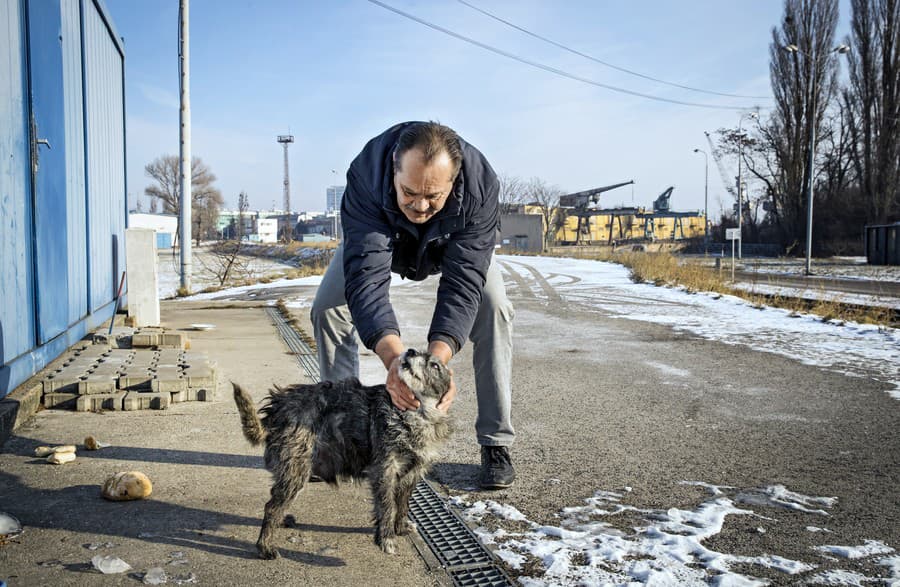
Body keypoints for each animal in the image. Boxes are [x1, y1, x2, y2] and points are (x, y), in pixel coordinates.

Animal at [234, 350, 454, 560]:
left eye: (435, 365)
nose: (410, 351)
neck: (416, 415)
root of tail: (275, 409)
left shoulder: (412, 472)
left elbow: (402, 503)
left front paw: (400, 528)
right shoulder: (385, 469)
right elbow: (387, 505)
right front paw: (387, 538)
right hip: (296, 468)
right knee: (271, 507)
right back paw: (265, 547)